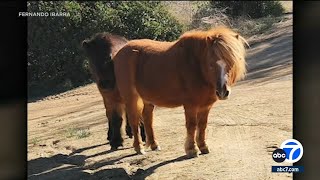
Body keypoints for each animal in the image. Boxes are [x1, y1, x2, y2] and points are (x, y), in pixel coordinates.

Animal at [113, 26, 250, 158]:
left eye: (232, 62)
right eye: (211, 64)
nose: (222, 91)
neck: (196, 66)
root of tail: (119, 52)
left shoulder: (206, 106)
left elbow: (202, 125)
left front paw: (203, 146)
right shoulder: (190, 105)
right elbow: (192, 125)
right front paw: (191, 150)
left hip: (147, 99)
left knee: (147, 118)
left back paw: (154, 145)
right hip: (131, 97)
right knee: (134, 120)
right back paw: (139, 148)